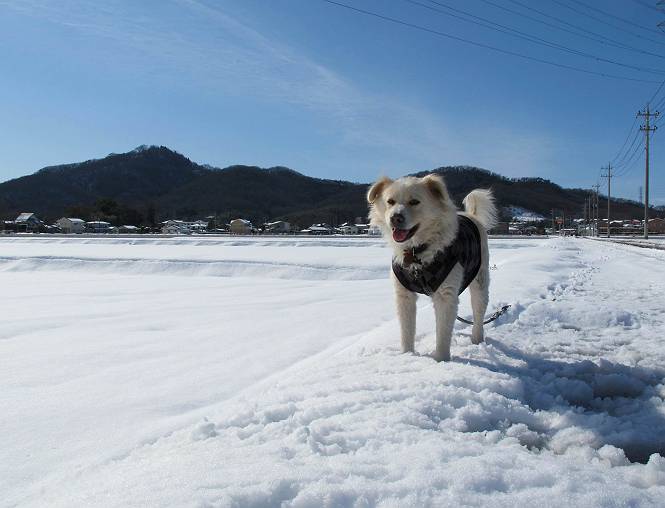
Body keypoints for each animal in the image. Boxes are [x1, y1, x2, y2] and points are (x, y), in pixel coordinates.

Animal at [367, 173, 497, 362]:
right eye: (390, 201)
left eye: (414, 201)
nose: (395, 218)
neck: (416, 252)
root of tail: (472, 216)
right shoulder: (403, 295)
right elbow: (407, 331)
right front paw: (407, 355)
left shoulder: (446, 295)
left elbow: (442, 333)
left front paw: (441, 361)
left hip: (480, 279)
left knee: (478, 313)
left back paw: (477, 340)